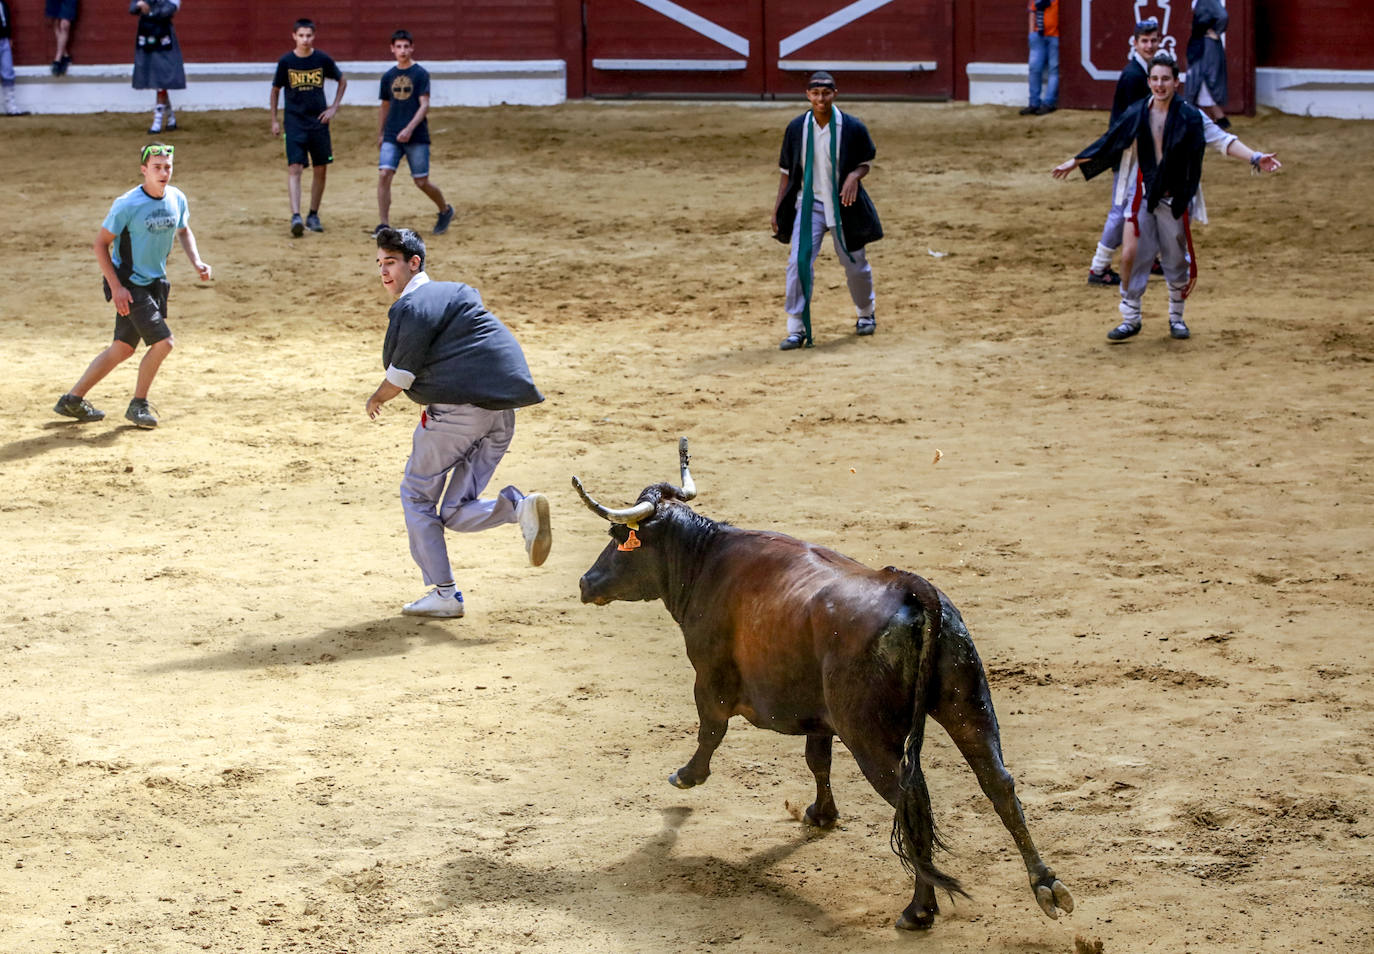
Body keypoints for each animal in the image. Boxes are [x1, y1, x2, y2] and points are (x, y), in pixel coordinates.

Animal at [568, 439, 1071, 934]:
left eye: (616, 539)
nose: (585, 582)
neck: (704, 558)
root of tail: (912, 591)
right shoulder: (818, 713)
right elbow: (818, 760)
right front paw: (821, 814)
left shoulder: (709, 676)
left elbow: (710, 730)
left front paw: (687, 776)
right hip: (967, 705)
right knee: (997, 783)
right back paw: (1046, 886)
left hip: (872, 738)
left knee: (910, 802)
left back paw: (919, 909)